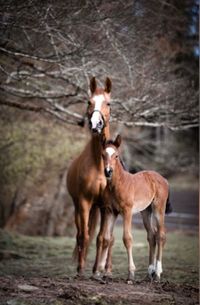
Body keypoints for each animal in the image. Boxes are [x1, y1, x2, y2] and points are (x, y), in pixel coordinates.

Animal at [95, 134, 172, 282]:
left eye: (116, 155)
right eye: (102, 155)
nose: (108, 171)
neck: (117, 185)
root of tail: (163, 179)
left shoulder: (127, 211)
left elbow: (127, 239)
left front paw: (131, 273)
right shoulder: (110, 211)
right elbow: (107, 238)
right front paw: (99, 272)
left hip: (158, 208)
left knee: (160, 235)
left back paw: (158, 273)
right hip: (145, 212)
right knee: (151, 235)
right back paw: (150, 272)